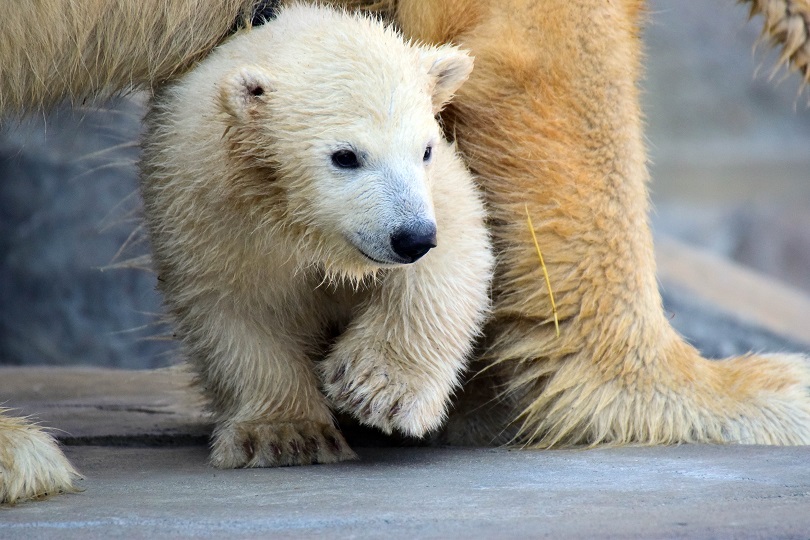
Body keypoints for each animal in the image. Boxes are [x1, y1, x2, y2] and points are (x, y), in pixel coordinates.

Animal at [0, 1, 804, 506]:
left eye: (419, 149)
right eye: (343, 156)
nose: (409, 237)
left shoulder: (435, 177)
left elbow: (459, 251)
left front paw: (379, 388)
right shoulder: (203, 186)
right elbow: (227, 303)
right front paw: (286, 434)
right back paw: (24, 456)